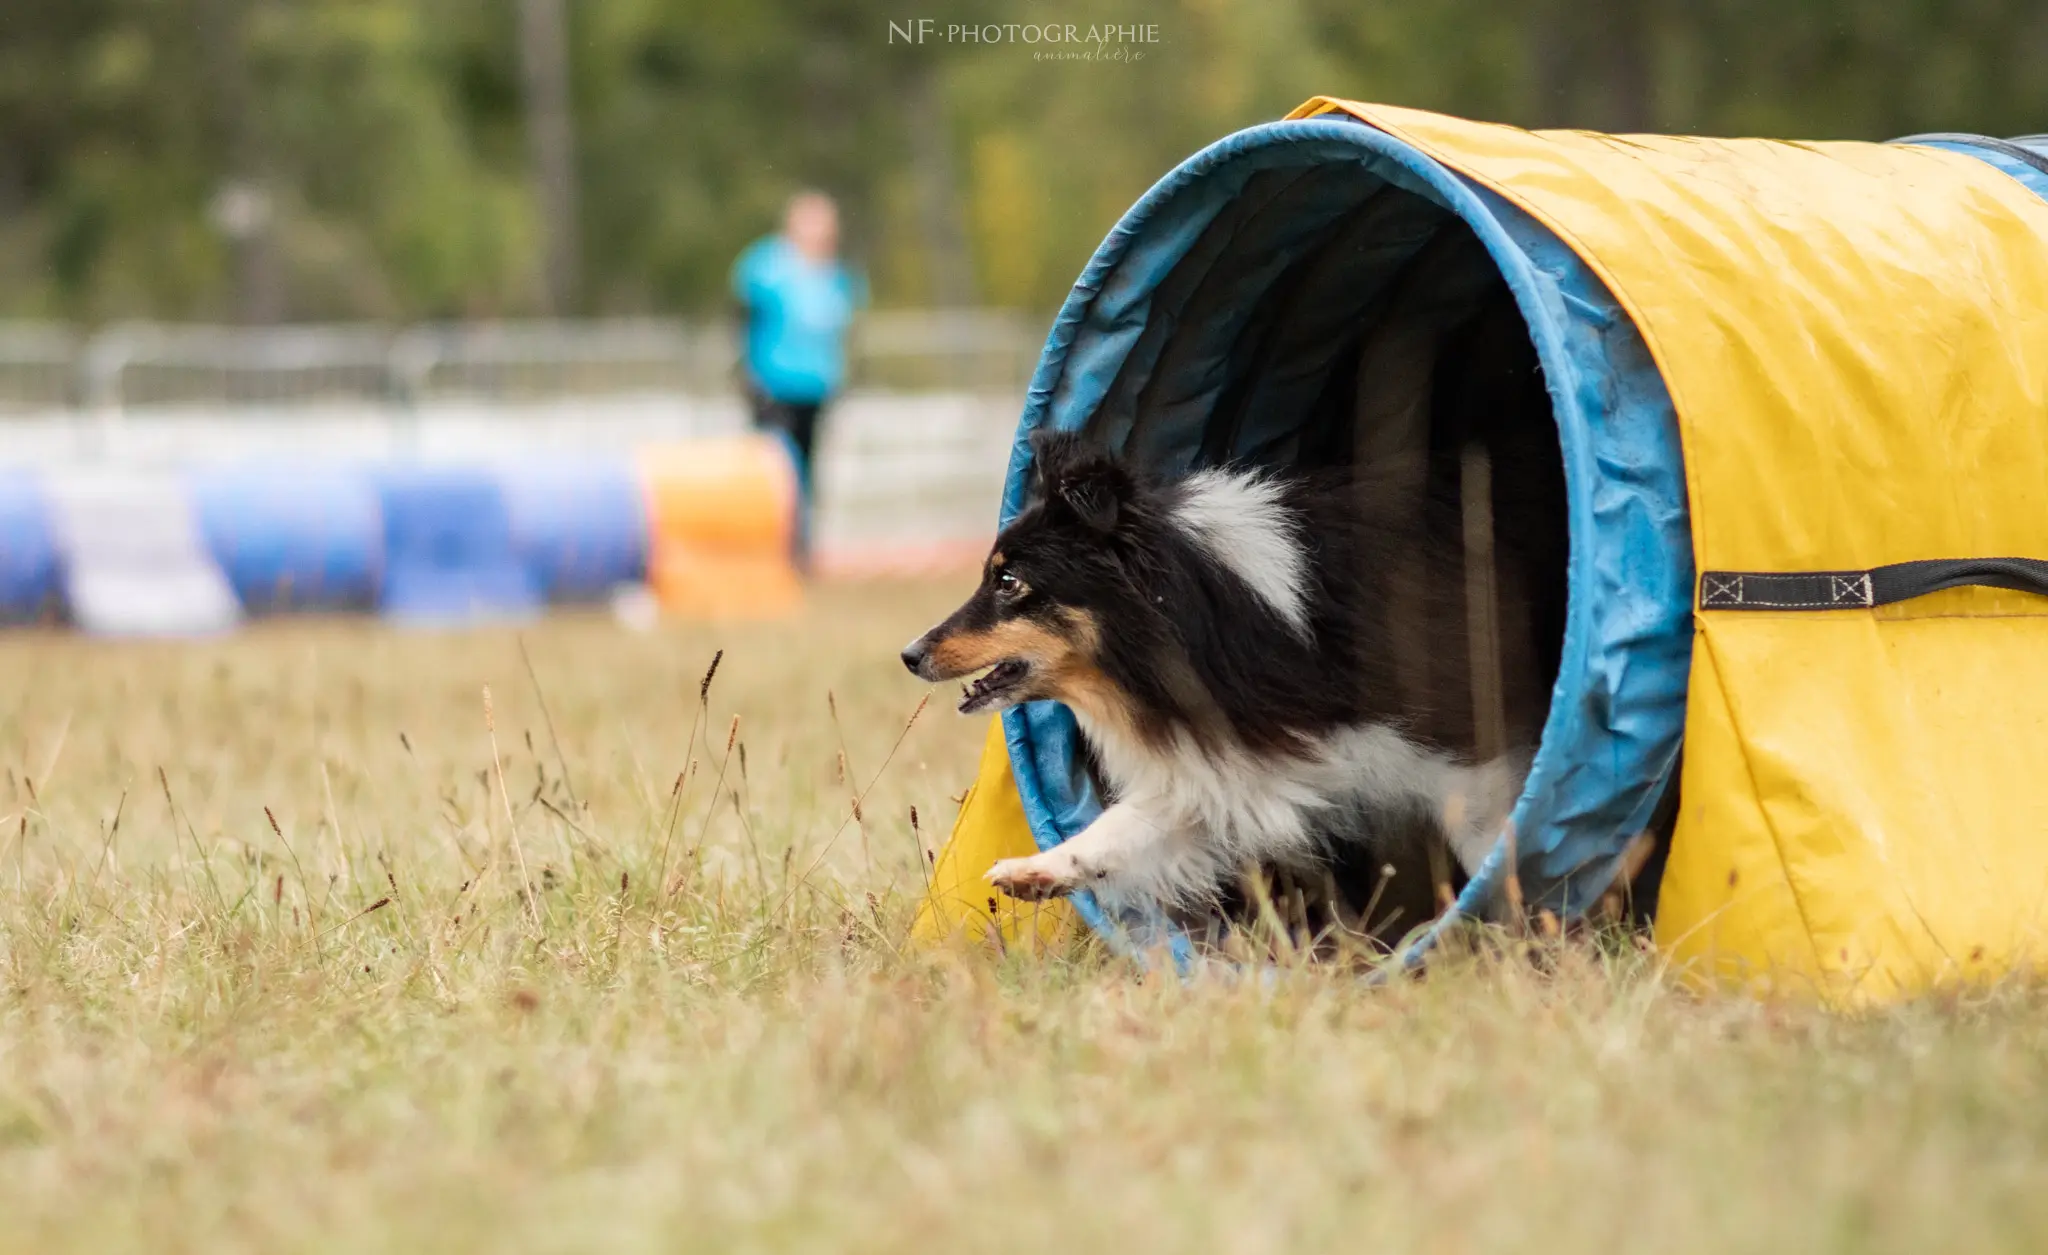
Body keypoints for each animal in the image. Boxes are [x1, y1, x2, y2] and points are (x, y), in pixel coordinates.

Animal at [905, 429, 1531, 929]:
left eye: (1008, 581)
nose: (909, 654)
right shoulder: (1241, 755)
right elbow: (1131, 822)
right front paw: (1034, 871)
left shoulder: (1467, 758)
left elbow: (1495, 848)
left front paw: (1514, 941)